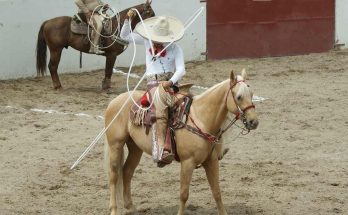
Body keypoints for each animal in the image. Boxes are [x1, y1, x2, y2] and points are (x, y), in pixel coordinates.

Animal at [104, 69, 260, 214]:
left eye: (252, 94)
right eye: (239, 97)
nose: (254, 122)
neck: (201, 119)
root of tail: (114, 101)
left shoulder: (211, 161)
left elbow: (217, 192)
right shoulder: (187, 162)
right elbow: (184, 194)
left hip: (135, 148)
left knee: (127, 171)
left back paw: (130, 207)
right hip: (115, 145)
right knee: (113, 175)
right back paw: (114, 209)